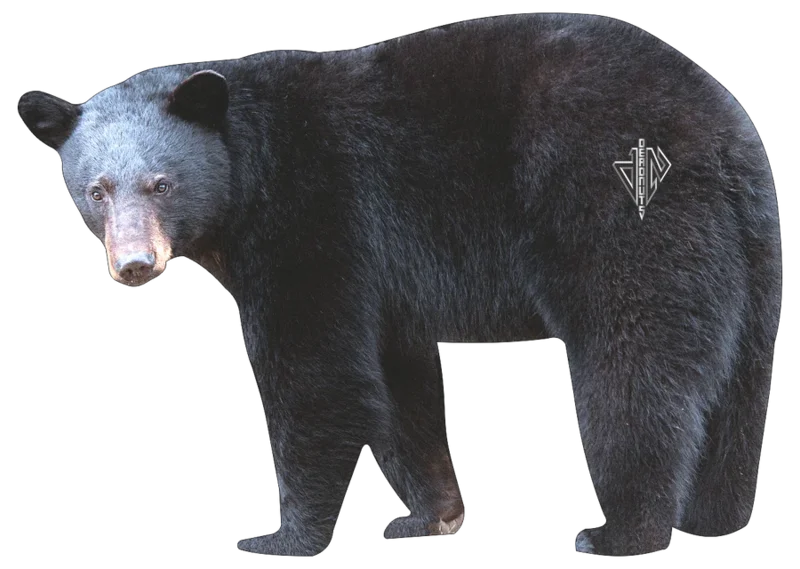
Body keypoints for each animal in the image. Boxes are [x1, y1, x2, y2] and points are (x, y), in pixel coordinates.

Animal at [17, 13, 781, 558]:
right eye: (96, 190)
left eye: (161, 183)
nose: (134, 263)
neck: (247, 163)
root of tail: (726, 134)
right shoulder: (383, 278)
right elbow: (396, 381)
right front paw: (431, 515)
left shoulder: (317, 214)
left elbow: (317, 370)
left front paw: (281, 536)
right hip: (747, 254)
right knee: (737, 379)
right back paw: (714, 515)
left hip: (622, 207)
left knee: (634, 363)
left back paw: (623, 530)